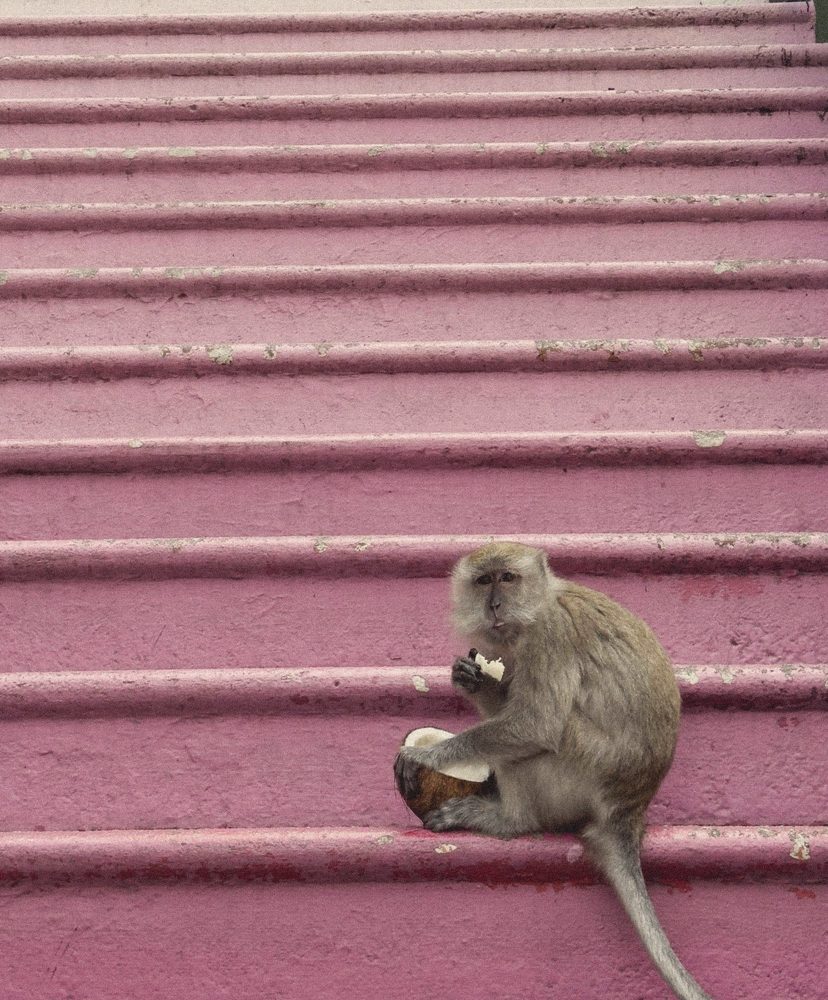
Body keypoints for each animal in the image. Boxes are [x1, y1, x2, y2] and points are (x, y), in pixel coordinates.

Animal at [394, 541, 713, 1000]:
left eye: (507, 578)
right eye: (483, 580)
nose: (494, 605)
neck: (541, 604)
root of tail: (629, 811)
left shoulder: (549, 638)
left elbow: (535, 724)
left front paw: (429, 756)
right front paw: (474, 680)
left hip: (576, 776)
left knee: (542, 740)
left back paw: (509, 820)